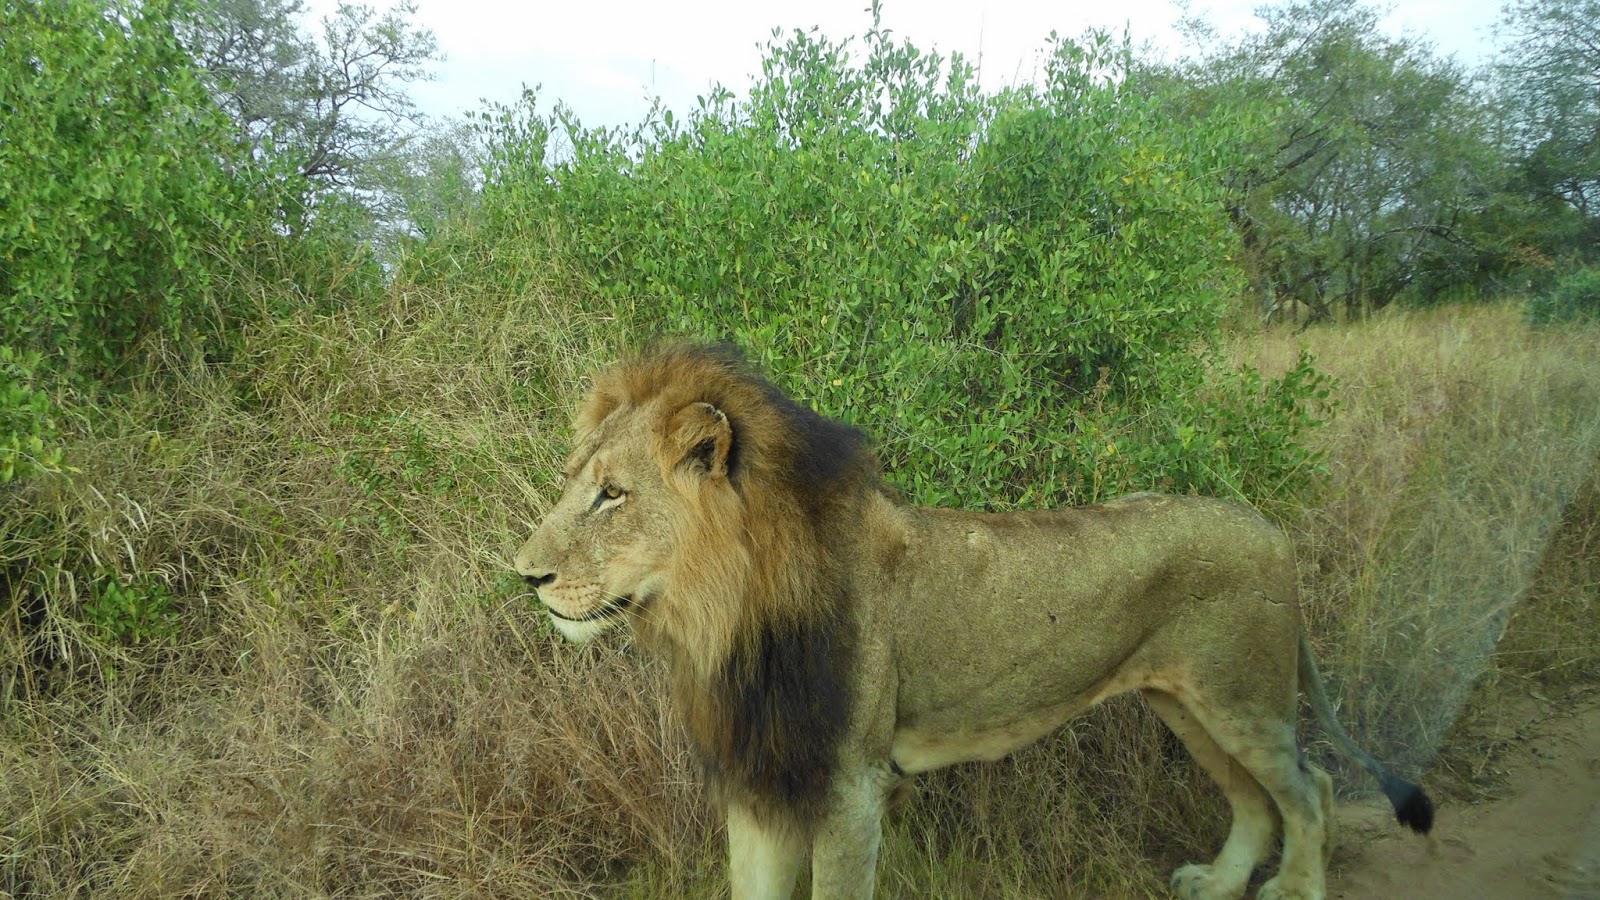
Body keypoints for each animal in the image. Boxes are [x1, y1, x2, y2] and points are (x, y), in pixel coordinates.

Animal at [514, 344, 1433, 900]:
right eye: (573, 481)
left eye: (612, 494)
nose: (525, 576)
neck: (727, 622)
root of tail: (1270, 528)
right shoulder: (762, 778)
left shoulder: (849, 784)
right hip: (1184, 700)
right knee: (1254, 798)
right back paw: (1217, 881)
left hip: (1241, 693)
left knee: (1309, 789)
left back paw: (1290, 886)